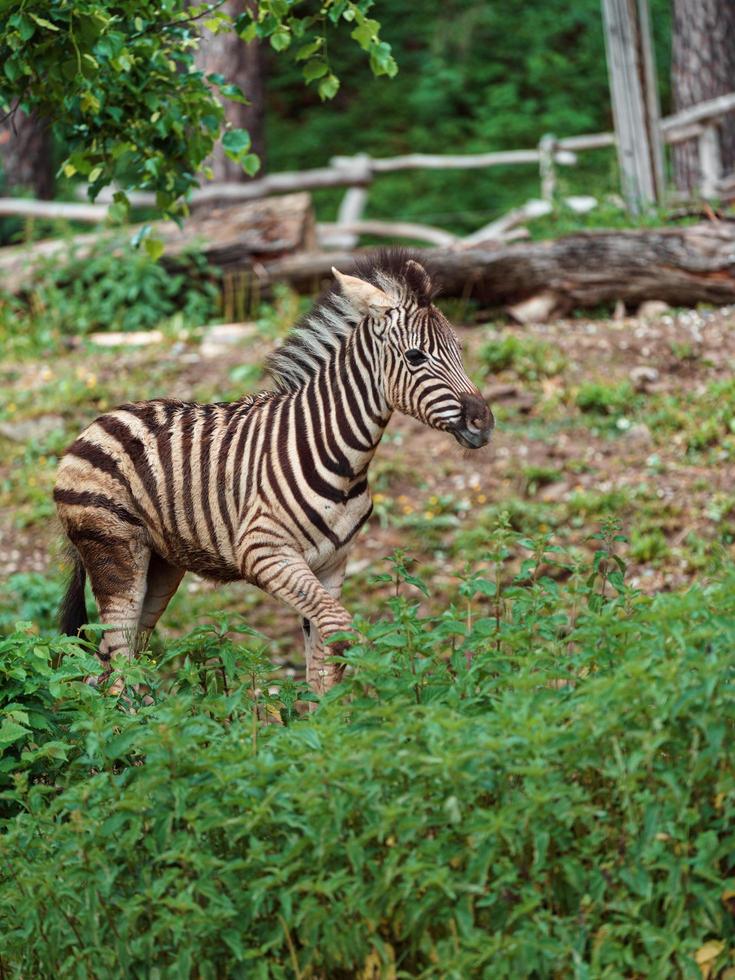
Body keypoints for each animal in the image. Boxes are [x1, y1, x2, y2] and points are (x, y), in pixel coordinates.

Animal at [54, 253, 494, 696]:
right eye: (416, 357)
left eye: (459, 348)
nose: (484, 422)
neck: (340, 457)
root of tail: (98, 421)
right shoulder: (263, 551)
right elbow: (338, 628)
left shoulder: (332, 563)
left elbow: (322, 656)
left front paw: (328, 714)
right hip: (114, 550)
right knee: (117, 659)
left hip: (162, 562)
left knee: (112, 660)